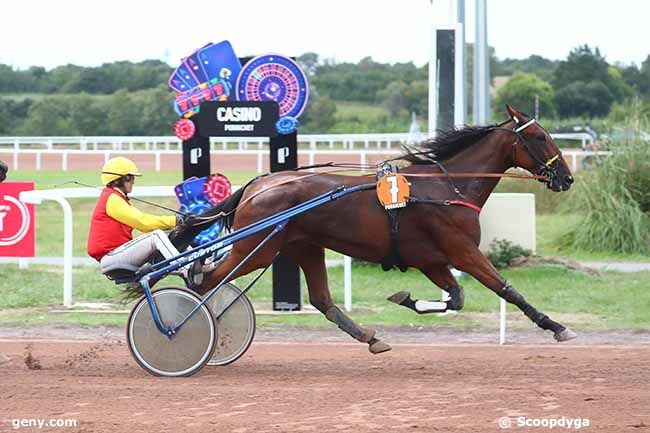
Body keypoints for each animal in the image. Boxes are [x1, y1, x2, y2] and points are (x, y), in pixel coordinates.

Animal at [157, 104, 572, 352]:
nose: (566, 177)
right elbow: (507, 290)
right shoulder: (462, 250)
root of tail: (257, 185)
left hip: (301, 246)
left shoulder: (432, 259)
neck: (447, 187)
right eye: (539, 136)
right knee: (205, 282)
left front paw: (405, 298)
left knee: (321, 300)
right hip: (256, 250)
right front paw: (555, 325)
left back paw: (370, 337)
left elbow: (455, 298)